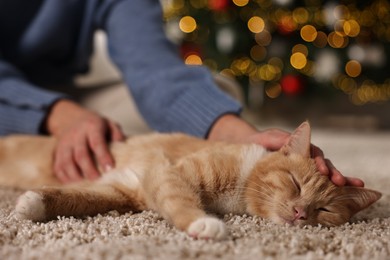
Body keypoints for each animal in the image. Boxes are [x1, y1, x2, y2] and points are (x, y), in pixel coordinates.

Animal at [0, 122, 380, 240]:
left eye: (324, 209)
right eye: (295, 184)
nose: (301, 213)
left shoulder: (123, 190)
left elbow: (79, 199)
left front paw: (32, 204)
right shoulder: (172, 174)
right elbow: (180, 200)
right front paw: (203, 224)